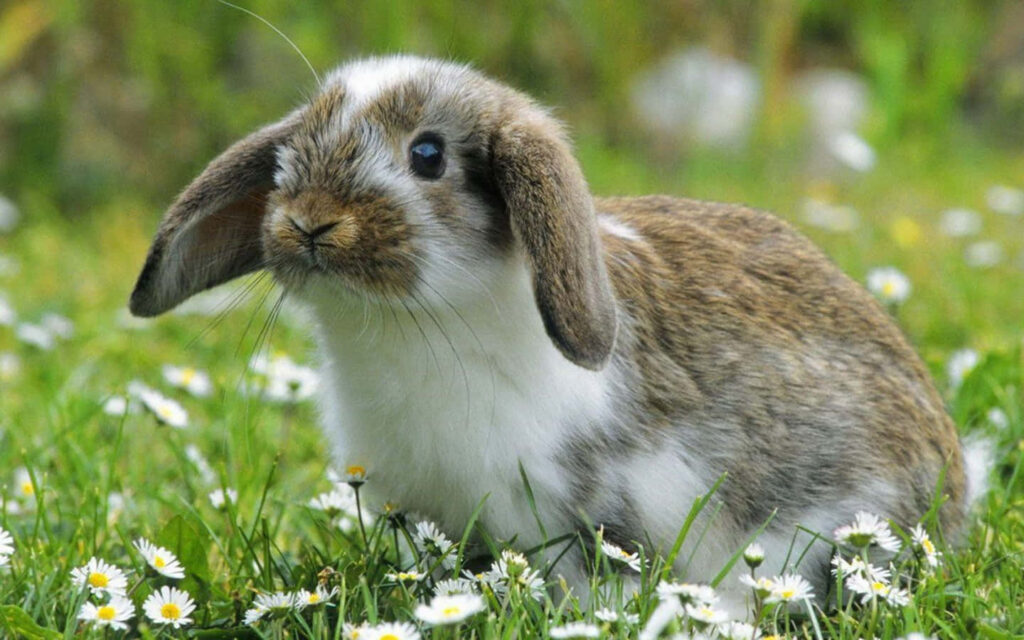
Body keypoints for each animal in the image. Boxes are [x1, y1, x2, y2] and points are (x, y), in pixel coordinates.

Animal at [129, 55, 989, 614]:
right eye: (292, 151)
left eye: (428, 155)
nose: (309, 222)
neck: (416, 325)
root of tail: (957, 479)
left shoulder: (598, 514)